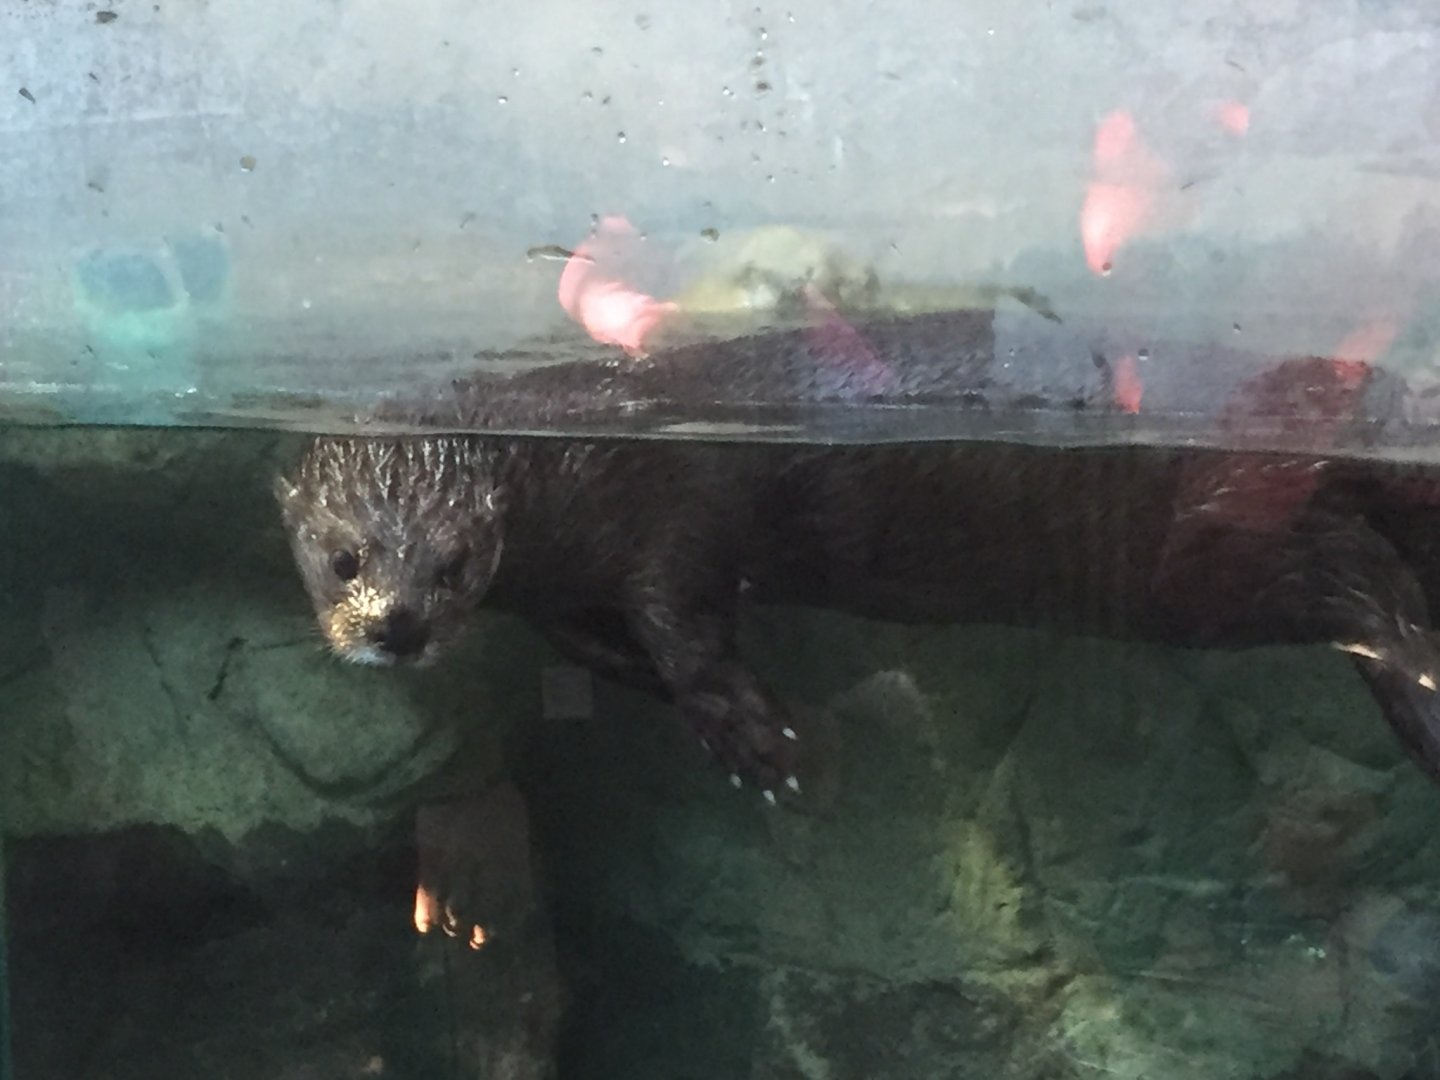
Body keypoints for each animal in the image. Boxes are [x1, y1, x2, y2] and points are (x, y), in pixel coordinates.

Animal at [275, 431, 1440, 801]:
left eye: (456, 561)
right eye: (342, 558)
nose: (397, 627)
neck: (565, 461)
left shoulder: (671, 510)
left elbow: (687, 621)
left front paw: (765, 747)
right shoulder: (559, 589)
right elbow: (596, 643)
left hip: (1220, 543)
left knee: (1365, 590)